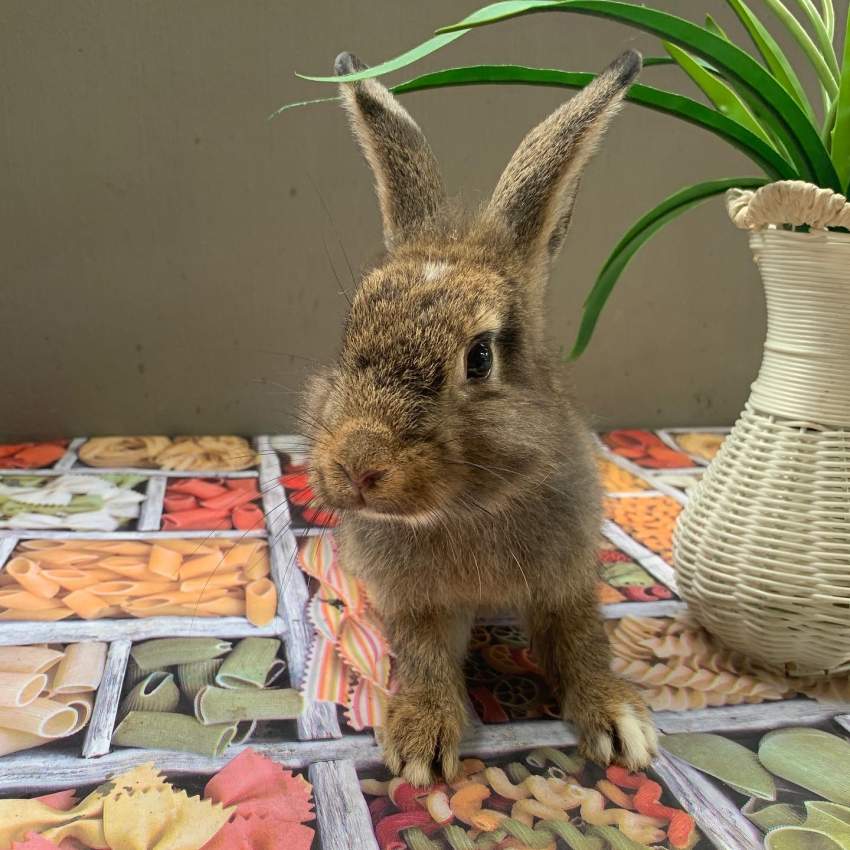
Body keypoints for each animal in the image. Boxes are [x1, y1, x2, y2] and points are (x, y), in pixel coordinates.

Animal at [304, 48, 657, 787]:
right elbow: (423, 656)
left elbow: (582, 642)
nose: (359, 465)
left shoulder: (565, 579)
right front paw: (420, 737)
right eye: (350, 334)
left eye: (481, 356)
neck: (467, 507)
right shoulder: (416, 602)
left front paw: (619, 721)